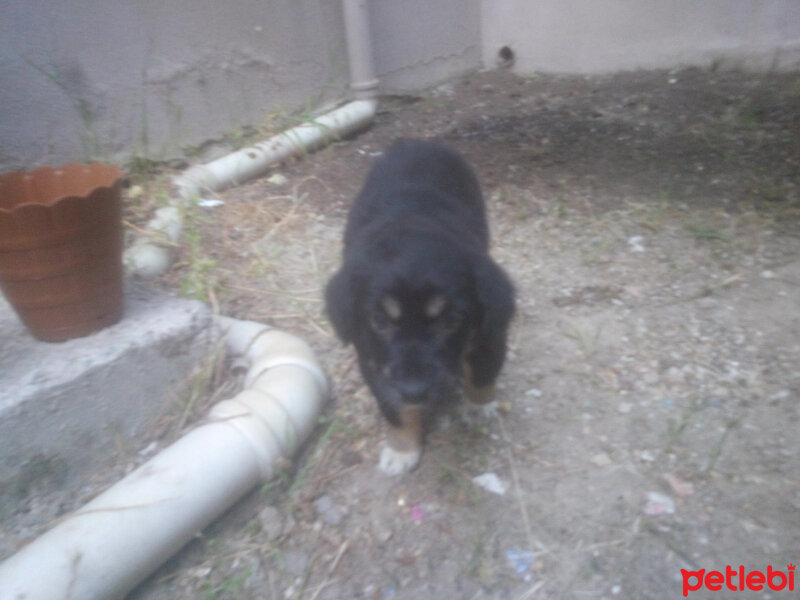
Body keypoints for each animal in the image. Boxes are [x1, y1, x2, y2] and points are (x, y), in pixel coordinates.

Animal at [324, 138, 512, 476]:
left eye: (451, 321)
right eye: (379, 321)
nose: (414, 392)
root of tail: (419, 141)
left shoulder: (489, 334)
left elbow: (482, 373)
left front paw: (479, 407)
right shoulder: (374, 362)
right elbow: (394, 409)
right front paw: (402, 449)